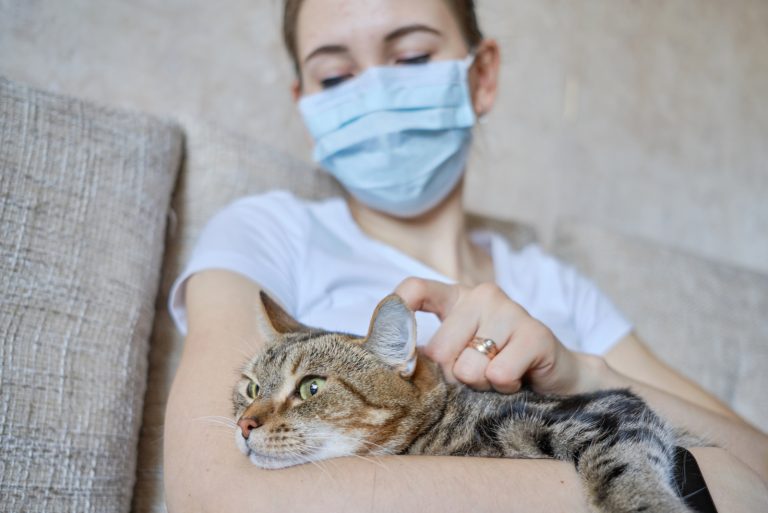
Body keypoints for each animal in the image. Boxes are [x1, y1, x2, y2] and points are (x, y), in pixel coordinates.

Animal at [231, 292, 704, 512]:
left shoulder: (608, 409)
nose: (244, 425)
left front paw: (647, 505)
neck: (444, 427)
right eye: (250, 389)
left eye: (311, 387)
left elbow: (627, 470)